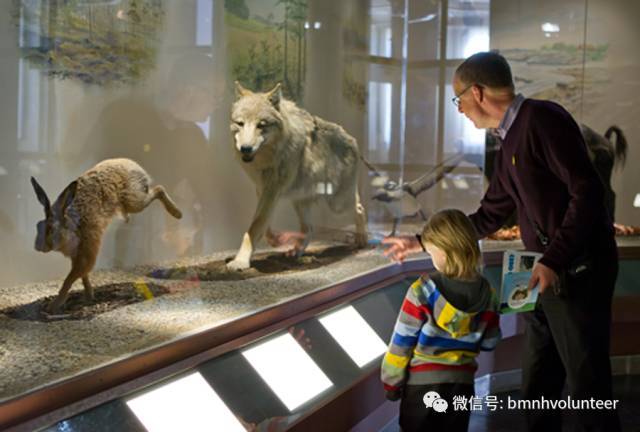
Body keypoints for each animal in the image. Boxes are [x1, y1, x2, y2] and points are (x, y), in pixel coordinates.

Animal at [31, 159, 182, 314]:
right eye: (38, 225)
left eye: (51, 229)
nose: (38, 247)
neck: (72, 225)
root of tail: (134, 165)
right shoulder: (77, 256)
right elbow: (83, 277)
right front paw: (89, 297)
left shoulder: (86, 251)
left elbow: (70, 279)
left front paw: (53, 306)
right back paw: (128, 218)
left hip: (134, 200)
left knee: (158, 189)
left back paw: (177, 213)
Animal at [228, 81, 368, 270]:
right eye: (240, 123)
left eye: (261, 125)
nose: (246, 148)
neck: (268, 158)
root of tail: (351, 138)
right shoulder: (261, 189)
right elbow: (263, 224)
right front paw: (274, 240)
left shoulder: (272, 190)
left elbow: (255, 227)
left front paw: (240, 261)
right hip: (301, 201)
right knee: (309, 229)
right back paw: (296, 251)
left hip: (337, 203)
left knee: (360, 208)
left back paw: (362, 240)